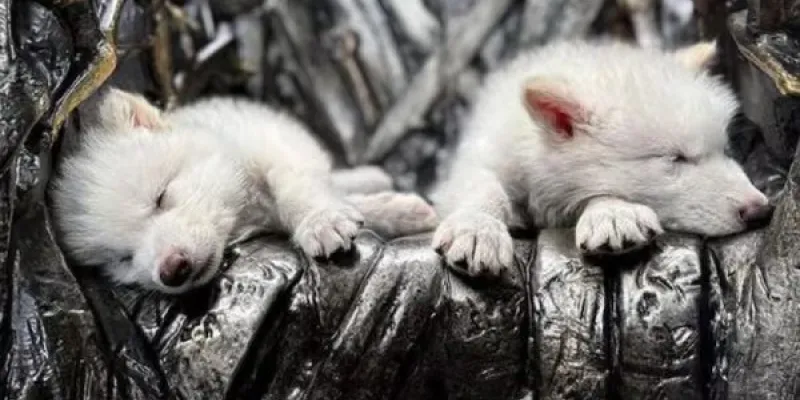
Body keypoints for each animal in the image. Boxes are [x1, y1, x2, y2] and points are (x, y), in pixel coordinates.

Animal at [50, 88, 438, 294]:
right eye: (123, 259)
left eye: (161, 197)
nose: (172, 270)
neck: (243, 210)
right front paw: (394, 211)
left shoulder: (274, 144)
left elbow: (297, 187)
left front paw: (321, 220)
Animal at [431, 39, 772, 277]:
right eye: (676, 158)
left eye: (725, 151)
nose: (762, 211)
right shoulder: (483, 155)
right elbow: (482, 187)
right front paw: (477, 229)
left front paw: (613, 213)